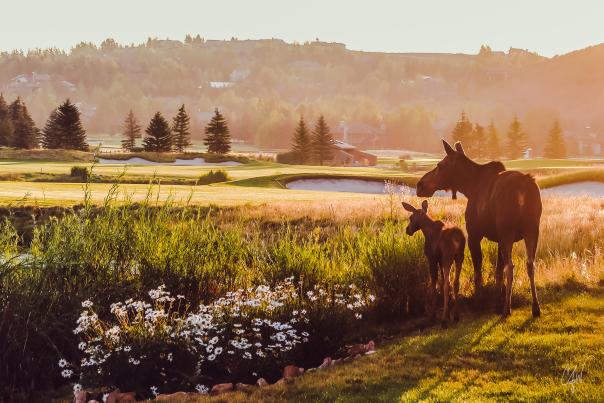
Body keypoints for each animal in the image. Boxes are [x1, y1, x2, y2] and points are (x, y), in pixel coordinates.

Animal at [416, 141, 544, 318]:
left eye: (440, 165)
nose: (419, 185)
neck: (468, 187)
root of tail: (522, 191)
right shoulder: (498, 238)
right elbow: (498, 272)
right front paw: (497, 303)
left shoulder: (474, 234)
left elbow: (478, 273)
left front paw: (480, 303)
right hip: (532, 229)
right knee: (530, 263)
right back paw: (535, 307)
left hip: (508, 230)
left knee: (511, 267)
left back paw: (507, 308)